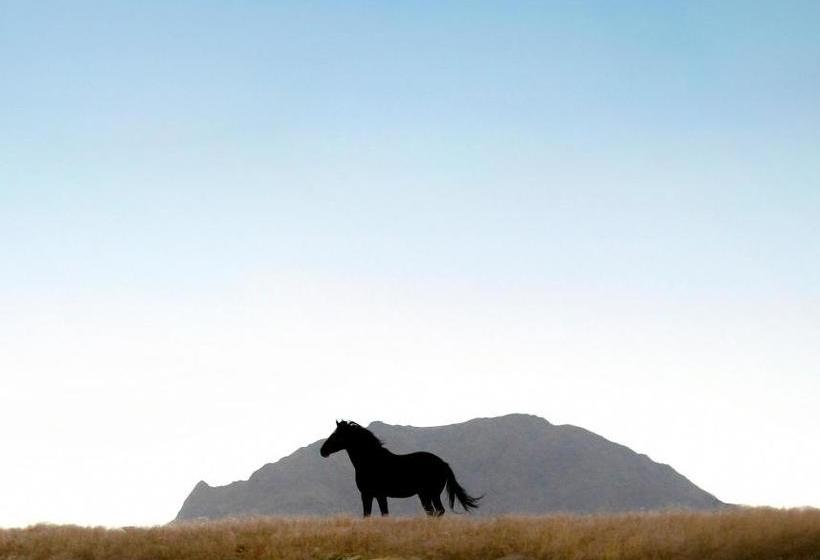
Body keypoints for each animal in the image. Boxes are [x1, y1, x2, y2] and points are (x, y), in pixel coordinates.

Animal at [319, 420, 482, 517]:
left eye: (337, 435)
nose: (323, 451)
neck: (371, 461)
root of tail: (443, 463)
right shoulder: (373, 495)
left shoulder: (372, 495)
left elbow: (378, 515)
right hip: (425, 495)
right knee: (433, 512)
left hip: (432, 494)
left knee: (438, 511)